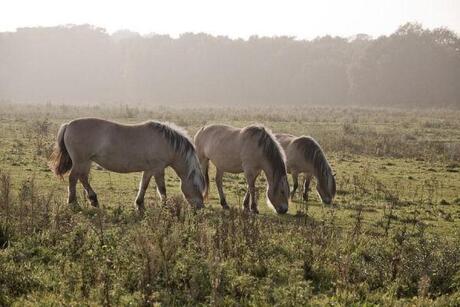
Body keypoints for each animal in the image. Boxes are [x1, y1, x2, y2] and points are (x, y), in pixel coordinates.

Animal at [48, 119, 205, 213]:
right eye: (196, 186)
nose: (201, 207)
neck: (166, 142)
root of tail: (68, 125)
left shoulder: (149, 169)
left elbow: (143, 186)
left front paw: (139, 205)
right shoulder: (158, 169)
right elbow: (162, 189)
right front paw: (166, 207)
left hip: (86, 162)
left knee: (83, 178)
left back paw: (93, 200)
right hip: (81, 161)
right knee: (73, 179)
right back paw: (73, 203)